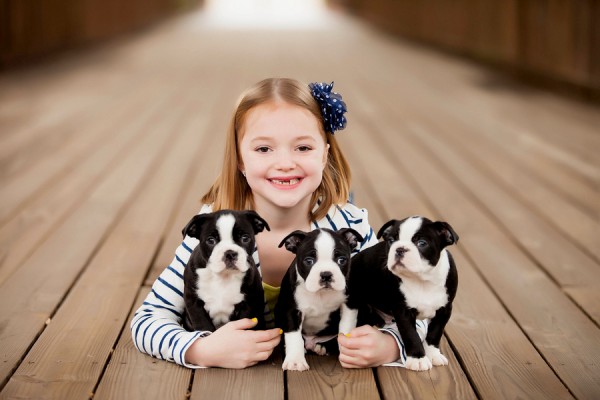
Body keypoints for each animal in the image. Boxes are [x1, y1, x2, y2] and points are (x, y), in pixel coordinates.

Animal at [274, 228, 364, 372]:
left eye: (341, 260)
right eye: (309, 261)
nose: (326, 274)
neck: (320, 293)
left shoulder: (350, 304)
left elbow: (345, 328)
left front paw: (347, 350)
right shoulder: (291, 310)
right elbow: (294, 336)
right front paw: (295, 361)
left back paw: (322, 347)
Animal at [338, 217, 460, 370]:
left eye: (422, 243)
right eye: (391, 241)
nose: (400, 248)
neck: (422, 280)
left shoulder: (444, 310)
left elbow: (434, 334)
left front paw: (433, 354)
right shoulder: (403, 312)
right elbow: (411, 334)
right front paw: (418, 358)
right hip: (353, 298)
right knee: (349, 316)